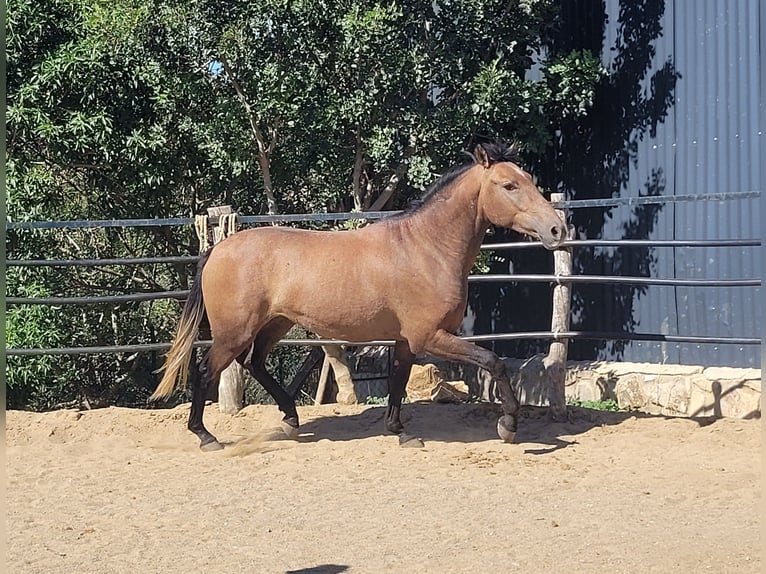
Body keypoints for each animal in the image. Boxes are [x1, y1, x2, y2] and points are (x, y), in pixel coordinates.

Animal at [152, 142, 568, 452]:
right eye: (509, 185)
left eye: (528, 179)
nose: (557, 229)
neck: (425, 248)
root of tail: (217, 250)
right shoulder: (430, 336)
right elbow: (493, 362)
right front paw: (509, 425)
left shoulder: (406, 340)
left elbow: (398, 380)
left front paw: (399, 431)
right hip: (234, 331)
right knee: (206, 370)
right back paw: (206, 436)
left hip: (275, 324)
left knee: (254, 364)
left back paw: (290, 419)